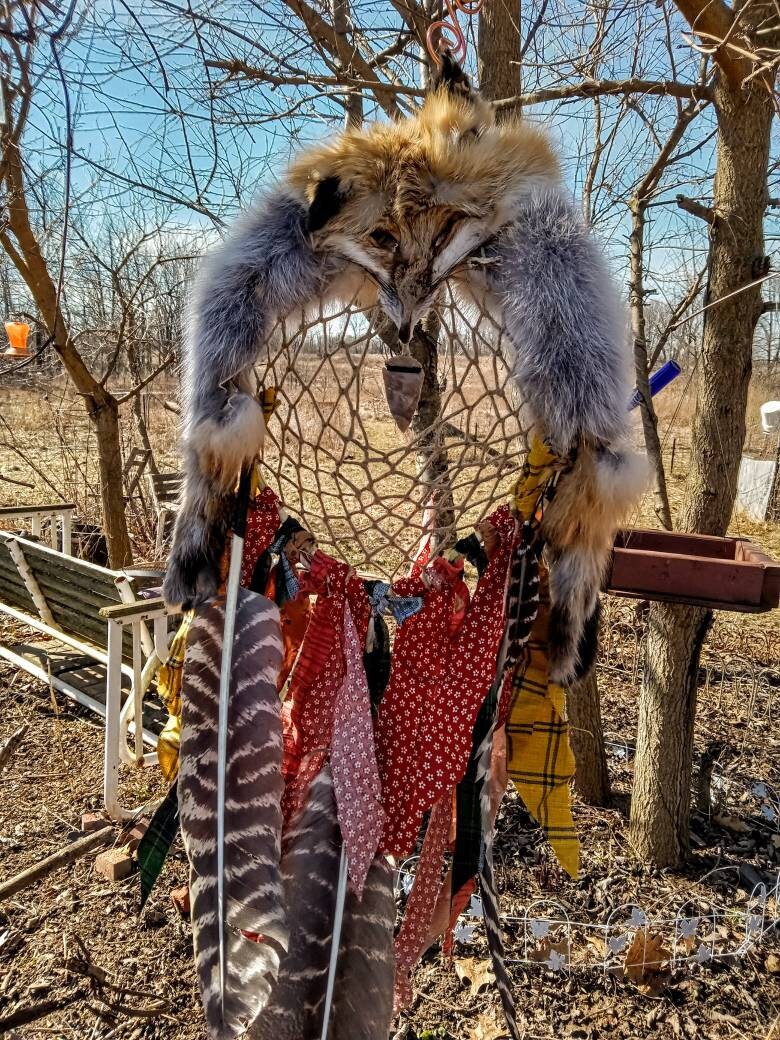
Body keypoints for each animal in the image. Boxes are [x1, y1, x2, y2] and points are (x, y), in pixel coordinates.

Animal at [163, 53, 647, 682]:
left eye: (445, 230)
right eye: (382, 238)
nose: (414, 310)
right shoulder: (255, 272)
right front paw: (193, 536)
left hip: (556, 294)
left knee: (594, 471)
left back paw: (569, 624)